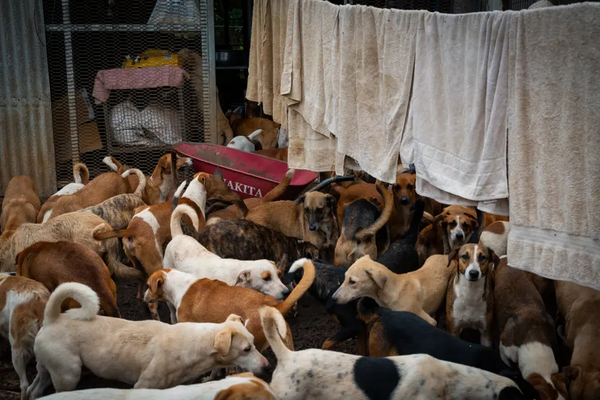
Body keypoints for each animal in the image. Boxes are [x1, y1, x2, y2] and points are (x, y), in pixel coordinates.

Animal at [28, 282, 268, 398]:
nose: (267, 365)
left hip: (48, 369)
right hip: (68, 375)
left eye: (254, 342)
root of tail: (53, 318)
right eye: (246, 349)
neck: (193, 345)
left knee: (33, 391)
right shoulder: (142, 385)